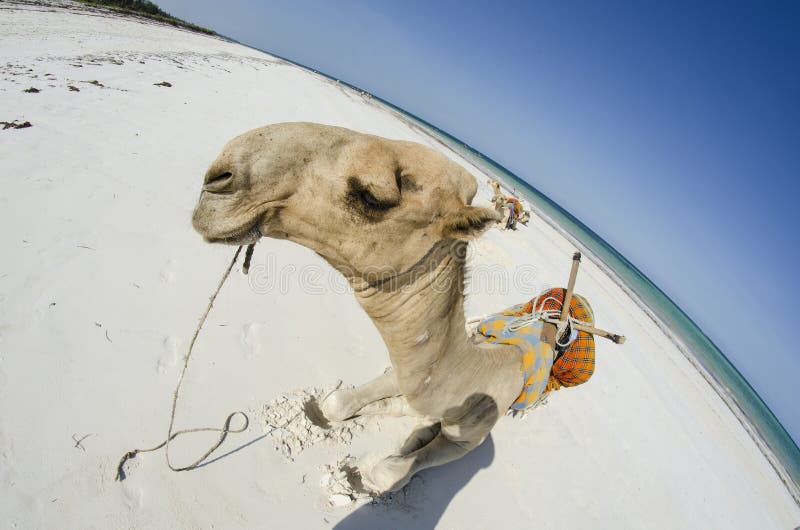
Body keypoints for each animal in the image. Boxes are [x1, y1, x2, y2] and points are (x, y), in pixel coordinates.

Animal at [192, 122, 557, 493]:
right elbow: (339, 403)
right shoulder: (404, 377)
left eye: (374, 196)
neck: (481, 371)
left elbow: (386, 471)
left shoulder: (470, 437)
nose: (219, 176)